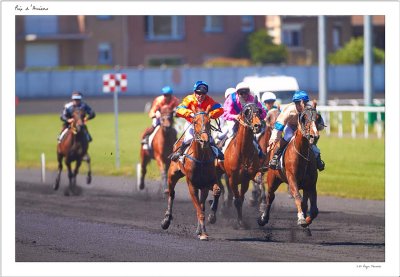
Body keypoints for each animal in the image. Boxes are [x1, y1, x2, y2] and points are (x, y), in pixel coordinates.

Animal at [160, 105, 222, 239]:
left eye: (209, 122)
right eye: (195, 122)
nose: (204, 141)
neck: (201, 159)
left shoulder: (207, 182)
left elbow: (216, 192)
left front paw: (211, 218)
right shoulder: (192, 184)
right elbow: (199, 210)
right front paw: (203, 233)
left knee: (202, 203)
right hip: (172, 175)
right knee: (171, 194)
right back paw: (166, 220)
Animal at [258, 100, 320, 230]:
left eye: (317, 118)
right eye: (304, 118)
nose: (314, 136)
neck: (302, 153)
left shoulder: (311, 184)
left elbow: (314, 209)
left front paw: (307, 220)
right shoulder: (292, 178)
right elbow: (297, 196)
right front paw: (301, 219)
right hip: (273, 179)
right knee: (270, 196)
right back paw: (263, 218)